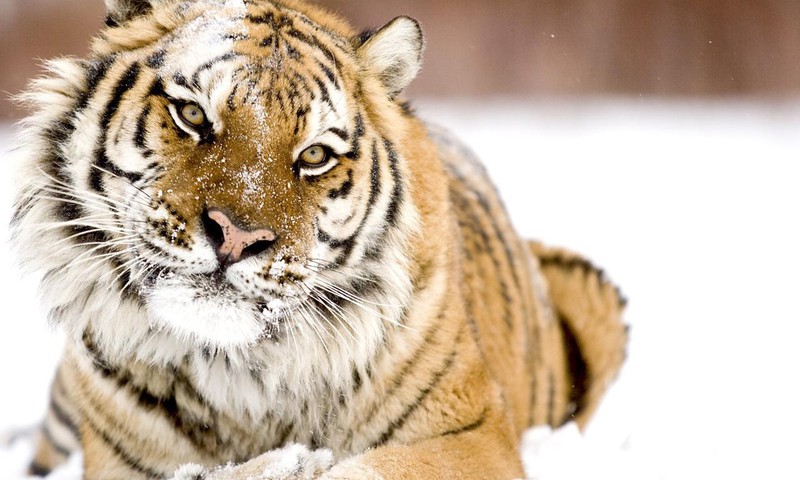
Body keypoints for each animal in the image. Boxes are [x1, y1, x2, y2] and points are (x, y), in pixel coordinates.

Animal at [10, 0, 628, 478]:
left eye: (314, 156)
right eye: (192, 114)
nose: (237, 237)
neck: (237, 378)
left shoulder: (475, 438)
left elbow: (370, 467)